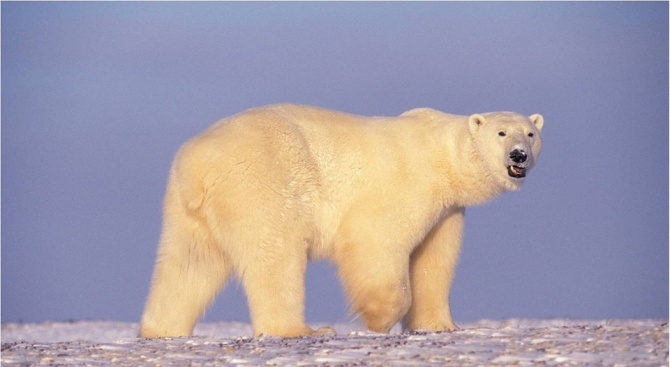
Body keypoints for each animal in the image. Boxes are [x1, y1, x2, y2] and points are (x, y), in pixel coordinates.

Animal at [139, 103, 544, 340]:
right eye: (501, 133)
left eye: (531, 133)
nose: (519, 155)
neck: (440, 155)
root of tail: (198, 164)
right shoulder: (406, 183)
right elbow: (375, 240)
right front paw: (377, 318)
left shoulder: (447, 209)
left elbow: (433, 260)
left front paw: (439, 324)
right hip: (260, 182)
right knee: (276, 256)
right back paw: (299, 329)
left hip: (188, 209)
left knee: (188, 265)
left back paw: (161, 330)